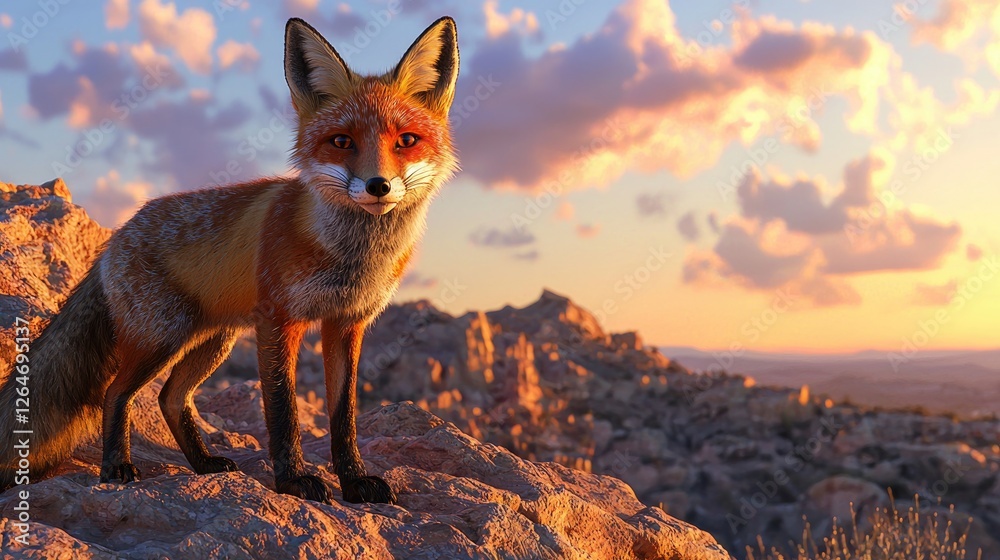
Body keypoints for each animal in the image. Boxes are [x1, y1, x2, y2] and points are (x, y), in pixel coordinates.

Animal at [0, 16, 460, 505]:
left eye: (407, 141)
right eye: (341, 142)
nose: (378, 186)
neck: (348, 257)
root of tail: (116, 236)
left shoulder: (347, 323)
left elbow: (344, 414)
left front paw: (354, 481)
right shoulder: (279, 320)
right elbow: (283, 410)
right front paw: (293, 481)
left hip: (212, 340)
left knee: (169, 398)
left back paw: (203, 464)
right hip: (161, 337)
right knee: (114, 394)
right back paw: (117, 467)